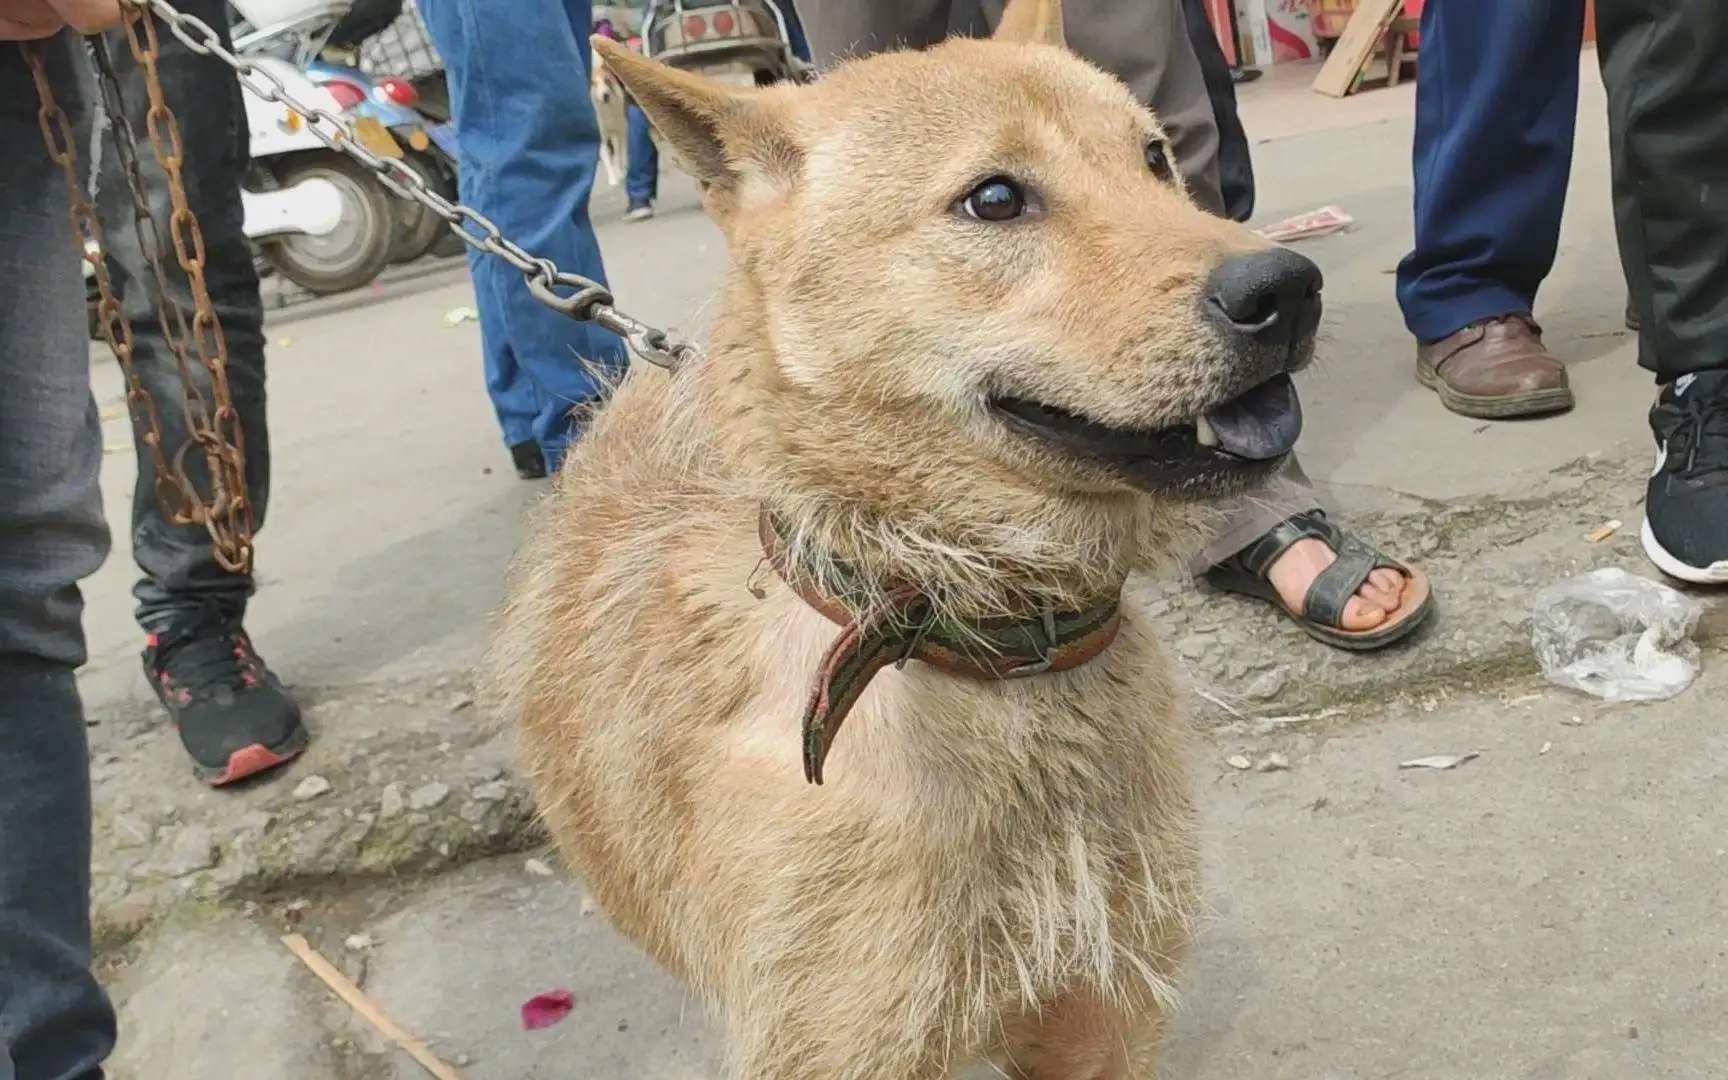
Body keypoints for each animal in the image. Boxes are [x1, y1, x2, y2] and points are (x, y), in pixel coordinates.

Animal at [487, 4, 1320, 1071]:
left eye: (1154, 157)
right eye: (995, 198)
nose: (1288, 285)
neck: (955, 635)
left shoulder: (1104, 1012)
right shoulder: (843, 1039)